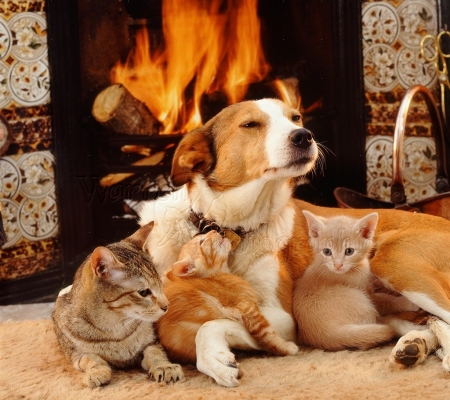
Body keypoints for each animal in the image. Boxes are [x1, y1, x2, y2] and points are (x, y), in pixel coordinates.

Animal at [53, 222, 185, 388]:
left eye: (161, 285)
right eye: (143, 292)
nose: (166, 306)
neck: (116, 331)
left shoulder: (152, 342)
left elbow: (155, 353)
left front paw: (164, 366)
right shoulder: (76, 353)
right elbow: (91, 359)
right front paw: (96, 371)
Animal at [156, 228, 298, 362]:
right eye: (201, 242)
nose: (214, 230)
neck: (217, 275)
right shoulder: (248, 309)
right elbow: (268, 336)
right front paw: (286, 348)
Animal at [294, 211, 396, 352]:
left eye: (349, 251)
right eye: (327, 251)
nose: (337, 265)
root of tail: (325, 334)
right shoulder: (368, 294)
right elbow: (388, 301)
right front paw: (407, 303)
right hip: (362, 302)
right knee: (367, 340)